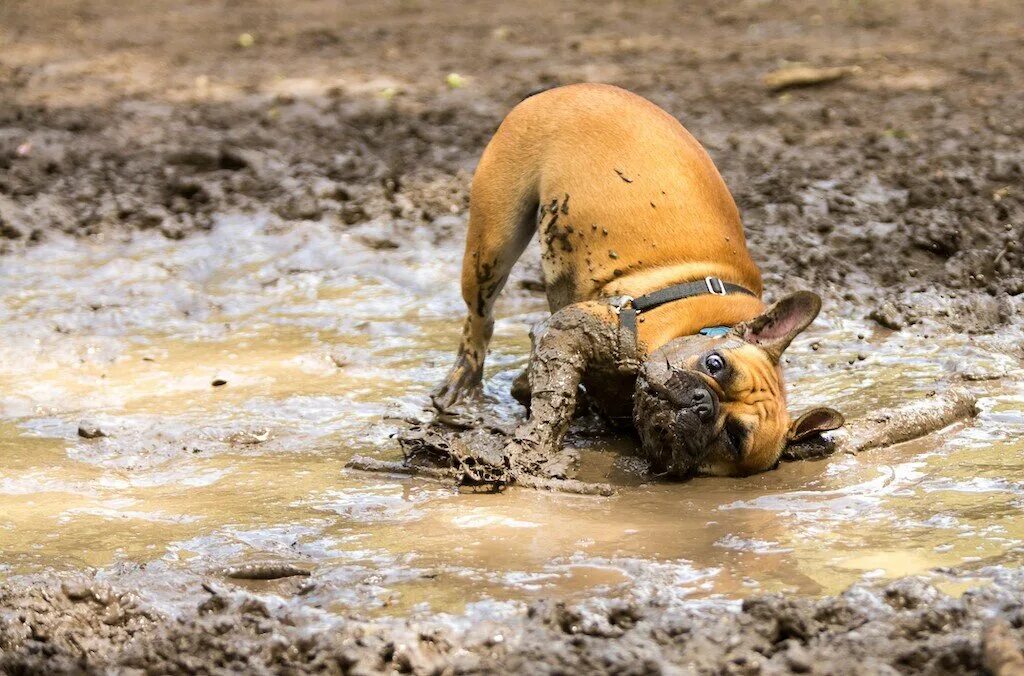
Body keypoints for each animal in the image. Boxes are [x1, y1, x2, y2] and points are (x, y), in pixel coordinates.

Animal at [430, 82, 839, 475]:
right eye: (715, 364)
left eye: (734, 438)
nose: (703, 403)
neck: (705, 324)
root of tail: (564, 89)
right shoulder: (576, 328)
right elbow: (555, 396)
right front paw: (538, 445)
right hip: (493, 243)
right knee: (480, 317)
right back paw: (461, 382)